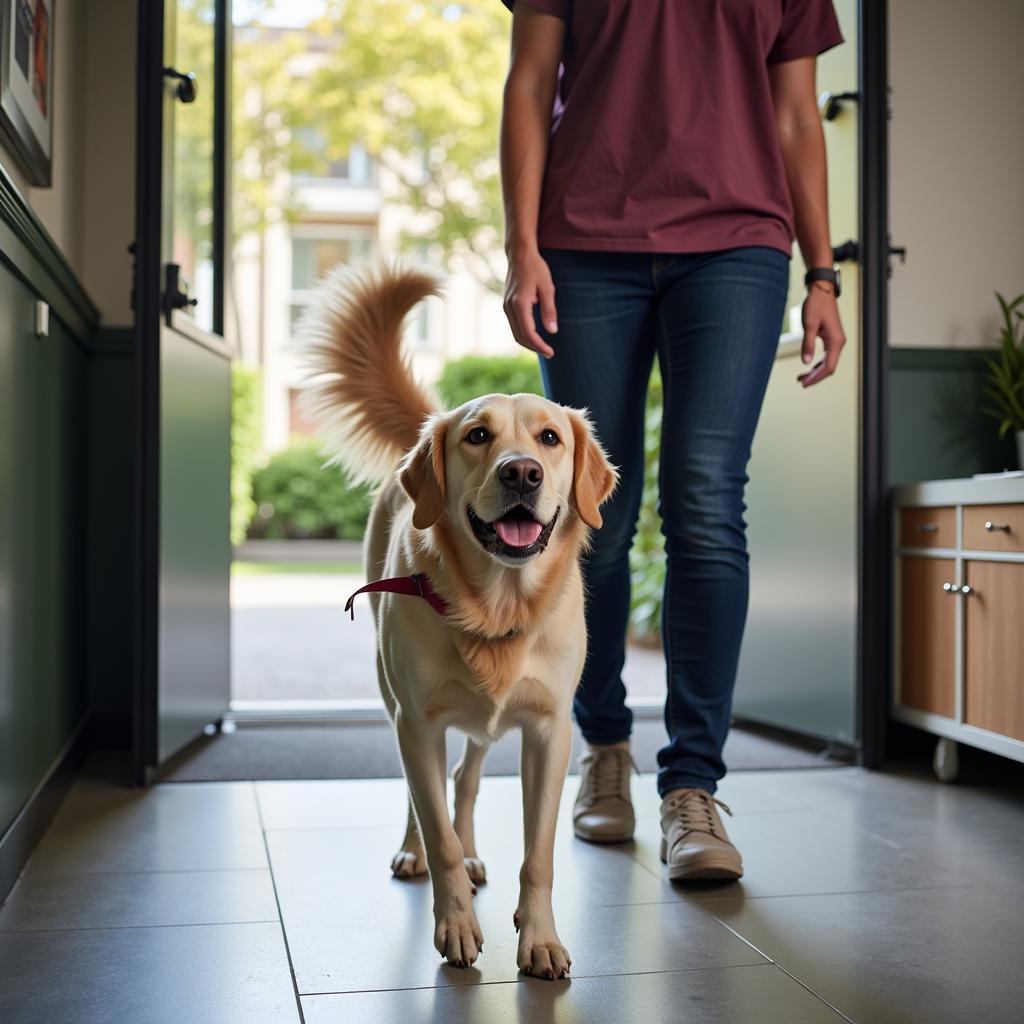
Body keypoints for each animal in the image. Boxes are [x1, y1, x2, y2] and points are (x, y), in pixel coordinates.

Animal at [296, 260, 614, 978]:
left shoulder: (549, 729)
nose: (522, 473)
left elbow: (539, 852)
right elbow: (433, 818)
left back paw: (472, 853)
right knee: (429, 797)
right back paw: (420, 854)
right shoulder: (417, 720)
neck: (497, 601)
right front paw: (456, 924)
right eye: (477, 436)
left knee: (465, 780)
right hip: (395, 698)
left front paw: (540, 938)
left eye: (550, 438)